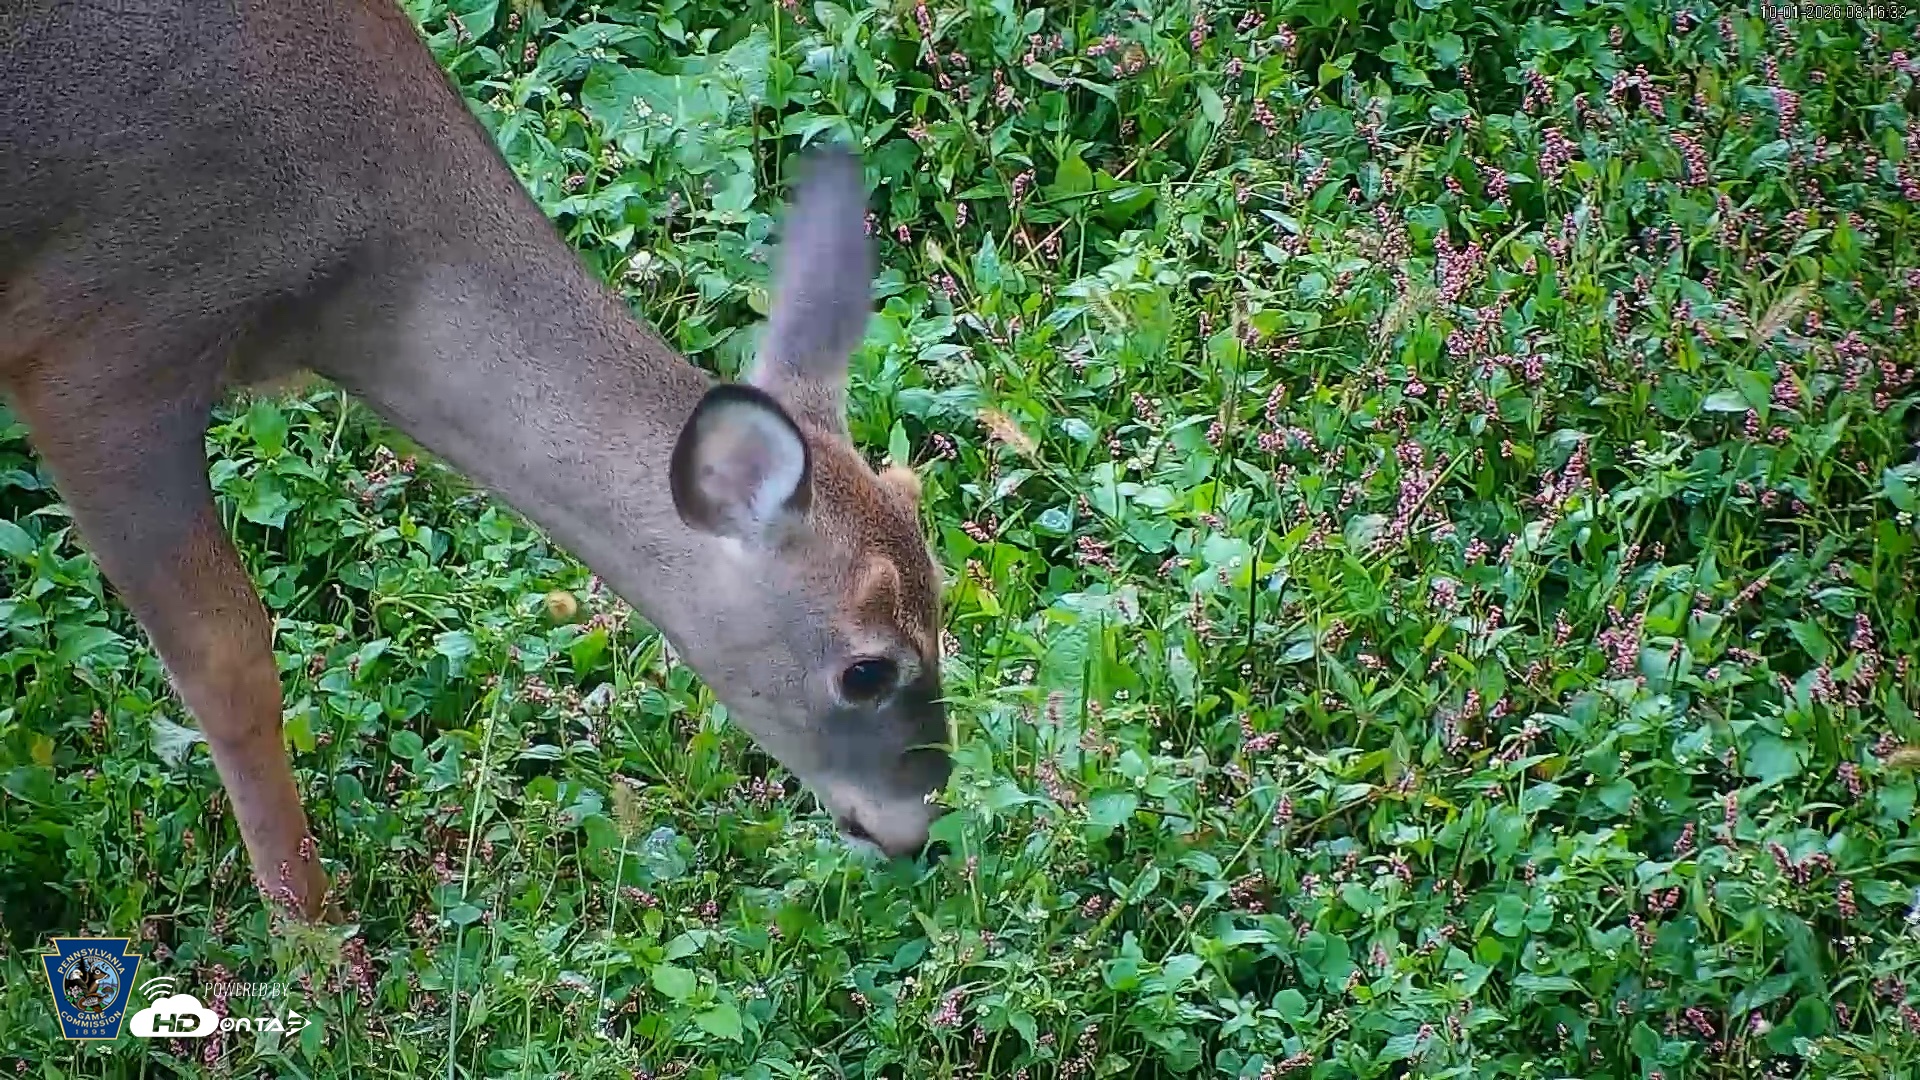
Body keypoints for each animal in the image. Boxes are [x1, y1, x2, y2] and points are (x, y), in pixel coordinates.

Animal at [1, 1, 953, 923]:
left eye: (941, 605)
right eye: (866, 669)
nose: (924, 827)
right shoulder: (100, 352)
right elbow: (229, 661)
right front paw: (315, 942)